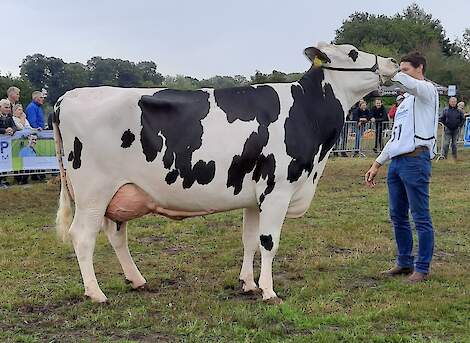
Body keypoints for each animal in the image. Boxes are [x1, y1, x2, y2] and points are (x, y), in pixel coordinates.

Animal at [53, 42, 398, 304]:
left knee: (116, 235)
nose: (393, 61)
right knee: (82, 236)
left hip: (121, 192)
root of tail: (68, 96)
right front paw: (269, 291)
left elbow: (250, 240)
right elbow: (269, 242)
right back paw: (96, 294)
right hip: (94, 192)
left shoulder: (255, 196)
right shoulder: (278, 190)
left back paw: (137, 280)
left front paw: (249, 284)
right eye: (352, 53)